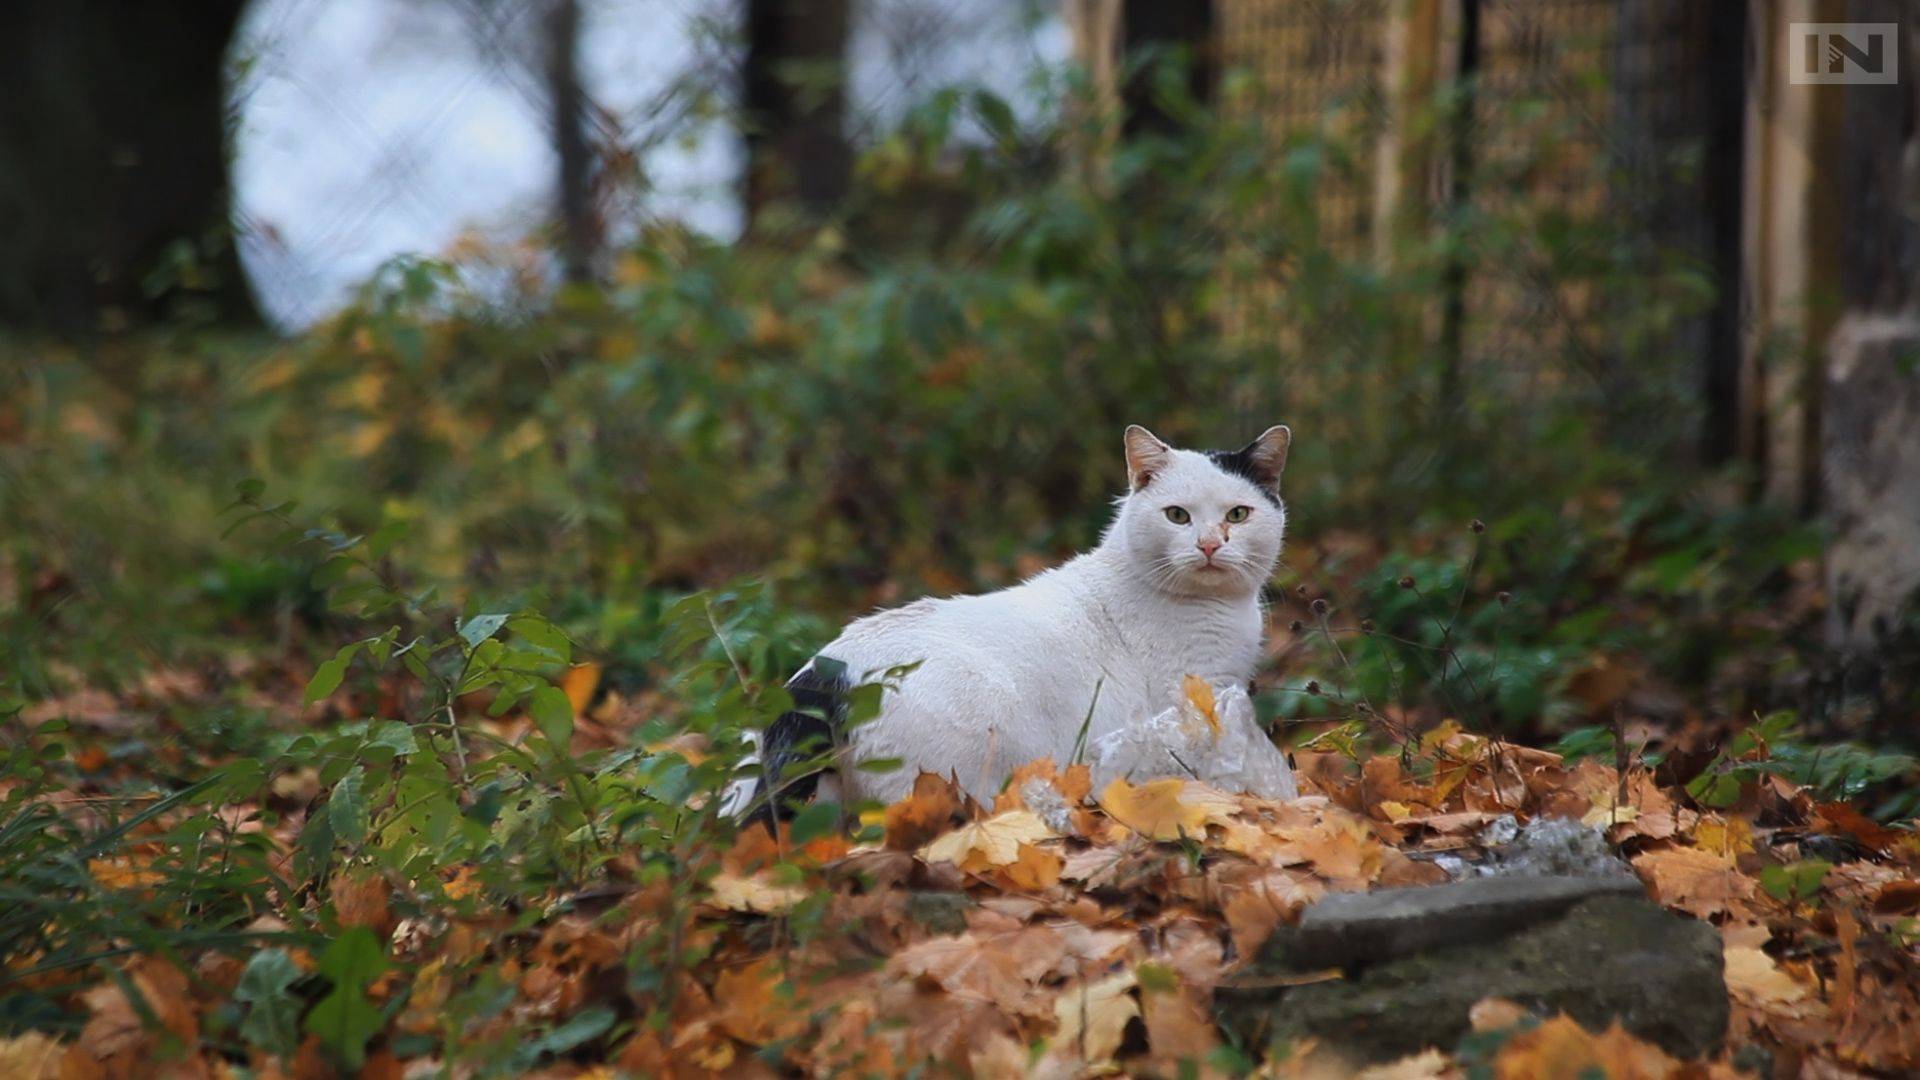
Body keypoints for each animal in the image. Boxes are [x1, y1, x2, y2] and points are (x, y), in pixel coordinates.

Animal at [725, 424, 1297, 810]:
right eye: (1178, 515)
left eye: (1238, 515)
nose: (1209, 545)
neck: (1218, 610)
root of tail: (828, 668)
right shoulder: (1194, 703)